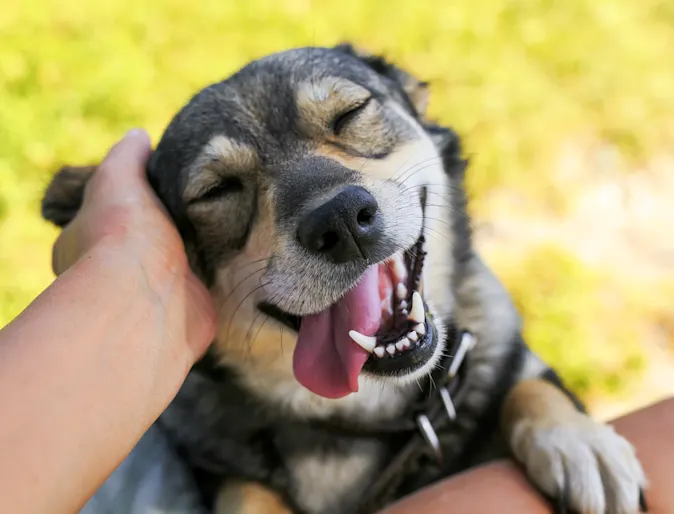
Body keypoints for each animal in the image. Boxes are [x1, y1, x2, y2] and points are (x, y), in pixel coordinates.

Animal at [39, 44, 644, 512]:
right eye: (217, 191)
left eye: (351, 114)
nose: (340, 221)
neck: (371, 412)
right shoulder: (214, 463)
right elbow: (245, 490)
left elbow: (530, 385)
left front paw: (577, 441)